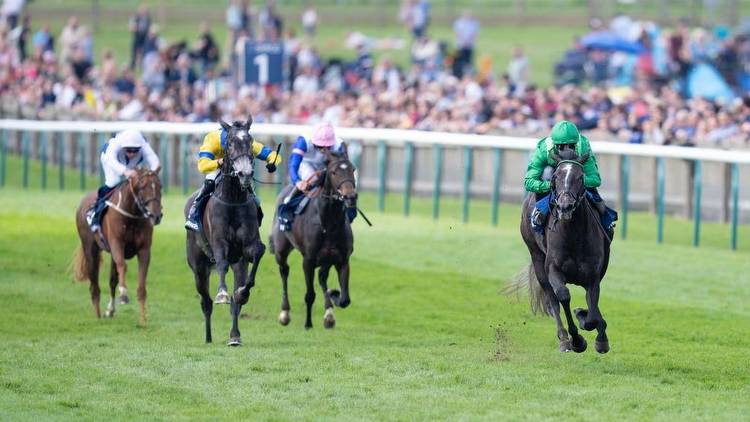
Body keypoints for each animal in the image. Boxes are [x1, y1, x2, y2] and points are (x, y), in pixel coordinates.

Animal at [72, 166, 163, 324]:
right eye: (142, 187)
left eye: (160, 186)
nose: (156, 216)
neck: (131, 216)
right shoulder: (116, 244)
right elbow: (123, 266)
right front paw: (124, 295)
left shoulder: (144, 250)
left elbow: (141, 285)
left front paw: (143, 319)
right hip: (90, 248)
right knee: (94, 285)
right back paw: (97, 316)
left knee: (112, 281)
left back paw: (110, 310)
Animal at [185, 119, 268, 346]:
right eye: (229, 144)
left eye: (250, 142)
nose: (245, 174)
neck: (233, 199)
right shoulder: (219, 243)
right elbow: (221, 264)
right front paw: (221, 293)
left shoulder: (246, 249)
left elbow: (258, 253)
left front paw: (242, 293)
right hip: (198, 268)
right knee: (205, 302)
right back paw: (208, 337)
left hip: (237, 264)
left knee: (235, 305)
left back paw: (234, 336)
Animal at [270, 145, 358, 330]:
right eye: (333, 172)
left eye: (352, 169)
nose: (350, 197)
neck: (329, 224)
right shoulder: (308, 260)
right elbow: (310, 294)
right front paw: (308, 323)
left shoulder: (342, 260)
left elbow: (345, 299)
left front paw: (334, 295)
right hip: (281, 250)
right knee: (284, 271)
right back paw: (285, 313)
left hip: (327, 260)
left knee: (322, 277)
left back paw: (329, 314)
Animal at [516, 148, 612, 352]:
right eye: (555, 176)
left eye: (581, 177)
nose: (565, 207)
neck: (573, 237)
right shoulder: (553, 269)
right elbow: (563, 296)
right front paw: (577, 341)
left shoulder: (593, 275)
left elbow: (592, 311)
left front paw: (599, 337)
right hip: (536, 257)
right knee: (553, 300)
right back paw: (563, 339)